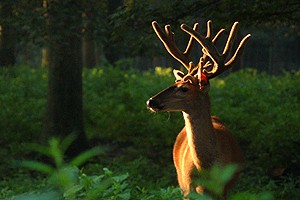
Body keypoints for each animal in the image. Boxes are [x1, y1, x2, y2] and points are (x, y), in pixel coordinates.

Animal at [145, 19, 251, 199]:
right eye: (174, 82)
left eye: (184, 89)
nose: (151, 101)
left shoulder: (225, 190)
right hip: (180, 180)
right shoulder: (188, 188)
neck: (208, 169)